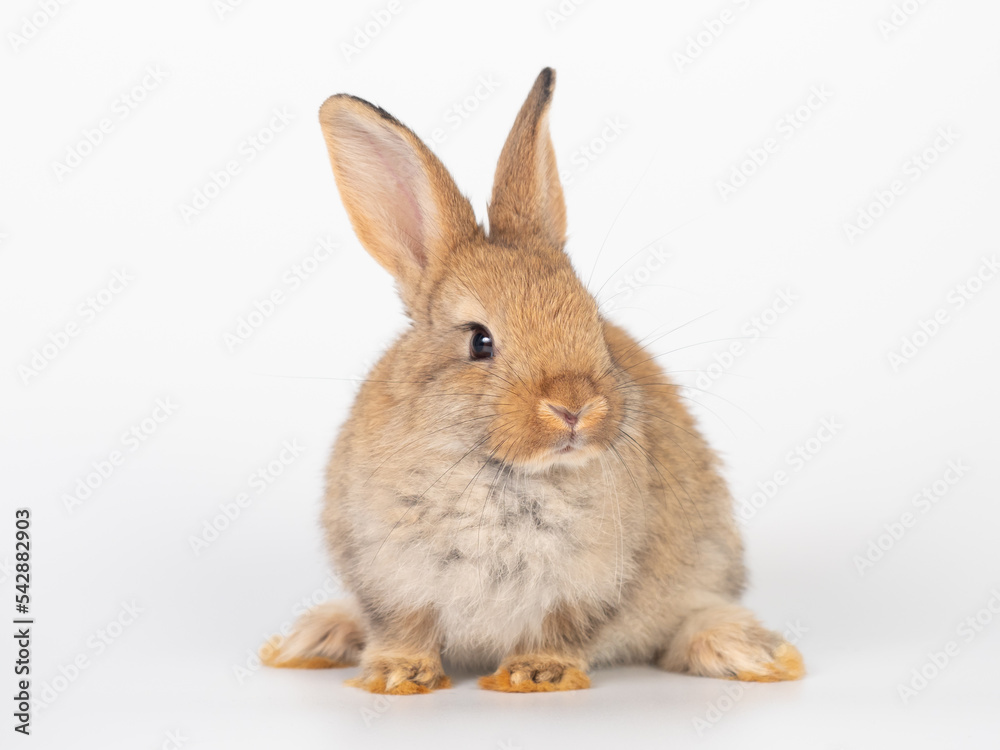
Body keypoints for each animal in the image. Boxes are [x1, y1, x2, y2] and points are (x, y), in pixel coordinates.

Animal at [260, 67, 804, 696]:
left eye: (593, 321)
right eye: (480, 341)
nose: (574, 407)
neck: (505, 472)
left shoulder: (592, 585)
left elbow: (560, 628)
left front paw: (535, 674)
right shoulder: (387, 576)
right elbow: (406, 627)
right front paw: (398, 676)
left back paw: (748, 652)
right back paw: (316, 638)